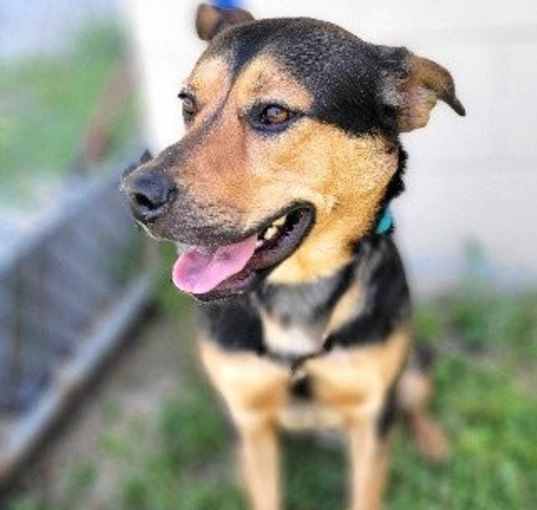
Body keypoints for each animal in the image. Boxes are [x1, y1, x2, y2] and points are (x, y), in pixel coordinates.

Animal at [119, 4, 462, 510]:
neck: (297, 288)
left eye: (275, 113)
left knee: (415, 400)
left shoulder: (370, 414)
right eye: (187, 105)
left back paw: (434, 441)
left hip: (413, 365)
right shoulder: (249, 416)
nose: (135, 194)